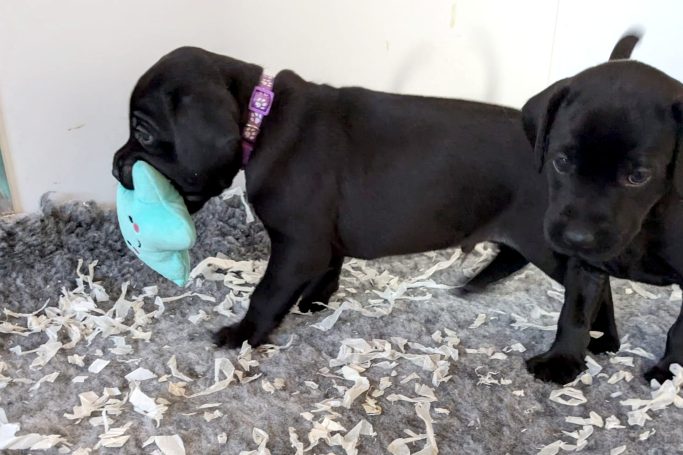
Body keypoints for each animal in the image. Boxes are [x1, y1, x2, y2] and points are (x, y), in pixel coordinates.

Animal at [520, 33, 683, 384]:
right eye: (562, 161)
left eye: (638, 176)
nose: (577, 238)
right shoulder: (585, 266)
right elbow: (576, 313)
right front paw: (562, 358)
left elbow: (681, 331)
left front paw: (671, 371)